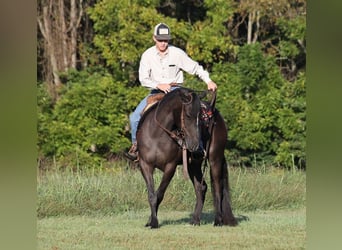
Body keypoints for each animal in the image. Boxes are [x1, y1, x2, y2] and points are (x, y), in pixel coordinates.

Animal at [135, 87, 236, 229]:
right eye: (188, 115)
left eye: (200, 116)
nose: (195, 145)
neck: (157, 135)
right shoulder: (145, 165)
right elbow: (152, 195)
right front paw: (151, 221)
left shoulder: (170, 167)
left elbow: (159, 194)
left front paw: (154, 222)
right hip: (194, 164)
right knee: (201, 187)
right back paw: (195, 220)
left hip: (215, 158)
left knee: (217, 187)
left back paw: (218, 221)